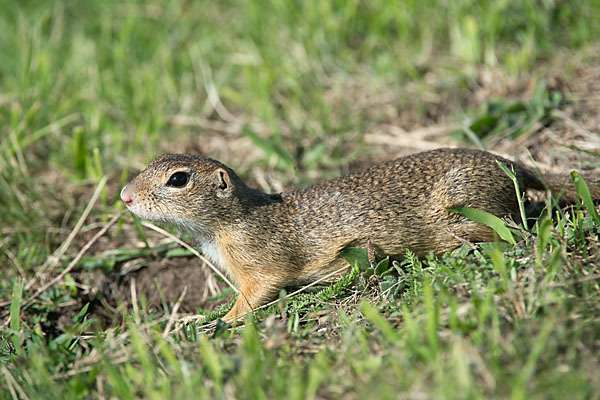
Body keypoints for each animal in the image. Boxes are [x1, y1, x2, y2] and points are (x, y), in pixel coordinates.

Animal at [119, 148, 596, 320]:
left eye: (178, 179)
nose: (124, 196)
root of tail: (513, 164)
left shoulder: (260, 265)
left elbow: (256, 295)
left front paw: (217, 320)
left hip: (465, 212)